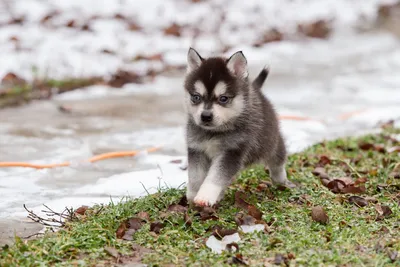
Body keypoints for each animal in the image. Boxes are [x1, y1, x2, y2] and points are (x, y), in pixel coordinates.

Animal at [184, 47, 294, 207]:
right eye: (196, 97)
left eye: (223, 98)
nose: (205, 116)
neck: (215, 132)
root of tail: (255, 89)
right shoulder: (196, 149)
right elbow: (195, 175)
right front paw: (193, 194)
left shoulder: (232, 152)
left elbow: (215, 177)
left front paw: (205, 196)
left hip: (272, 143)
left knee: (278, 162)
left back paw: (280, 180)